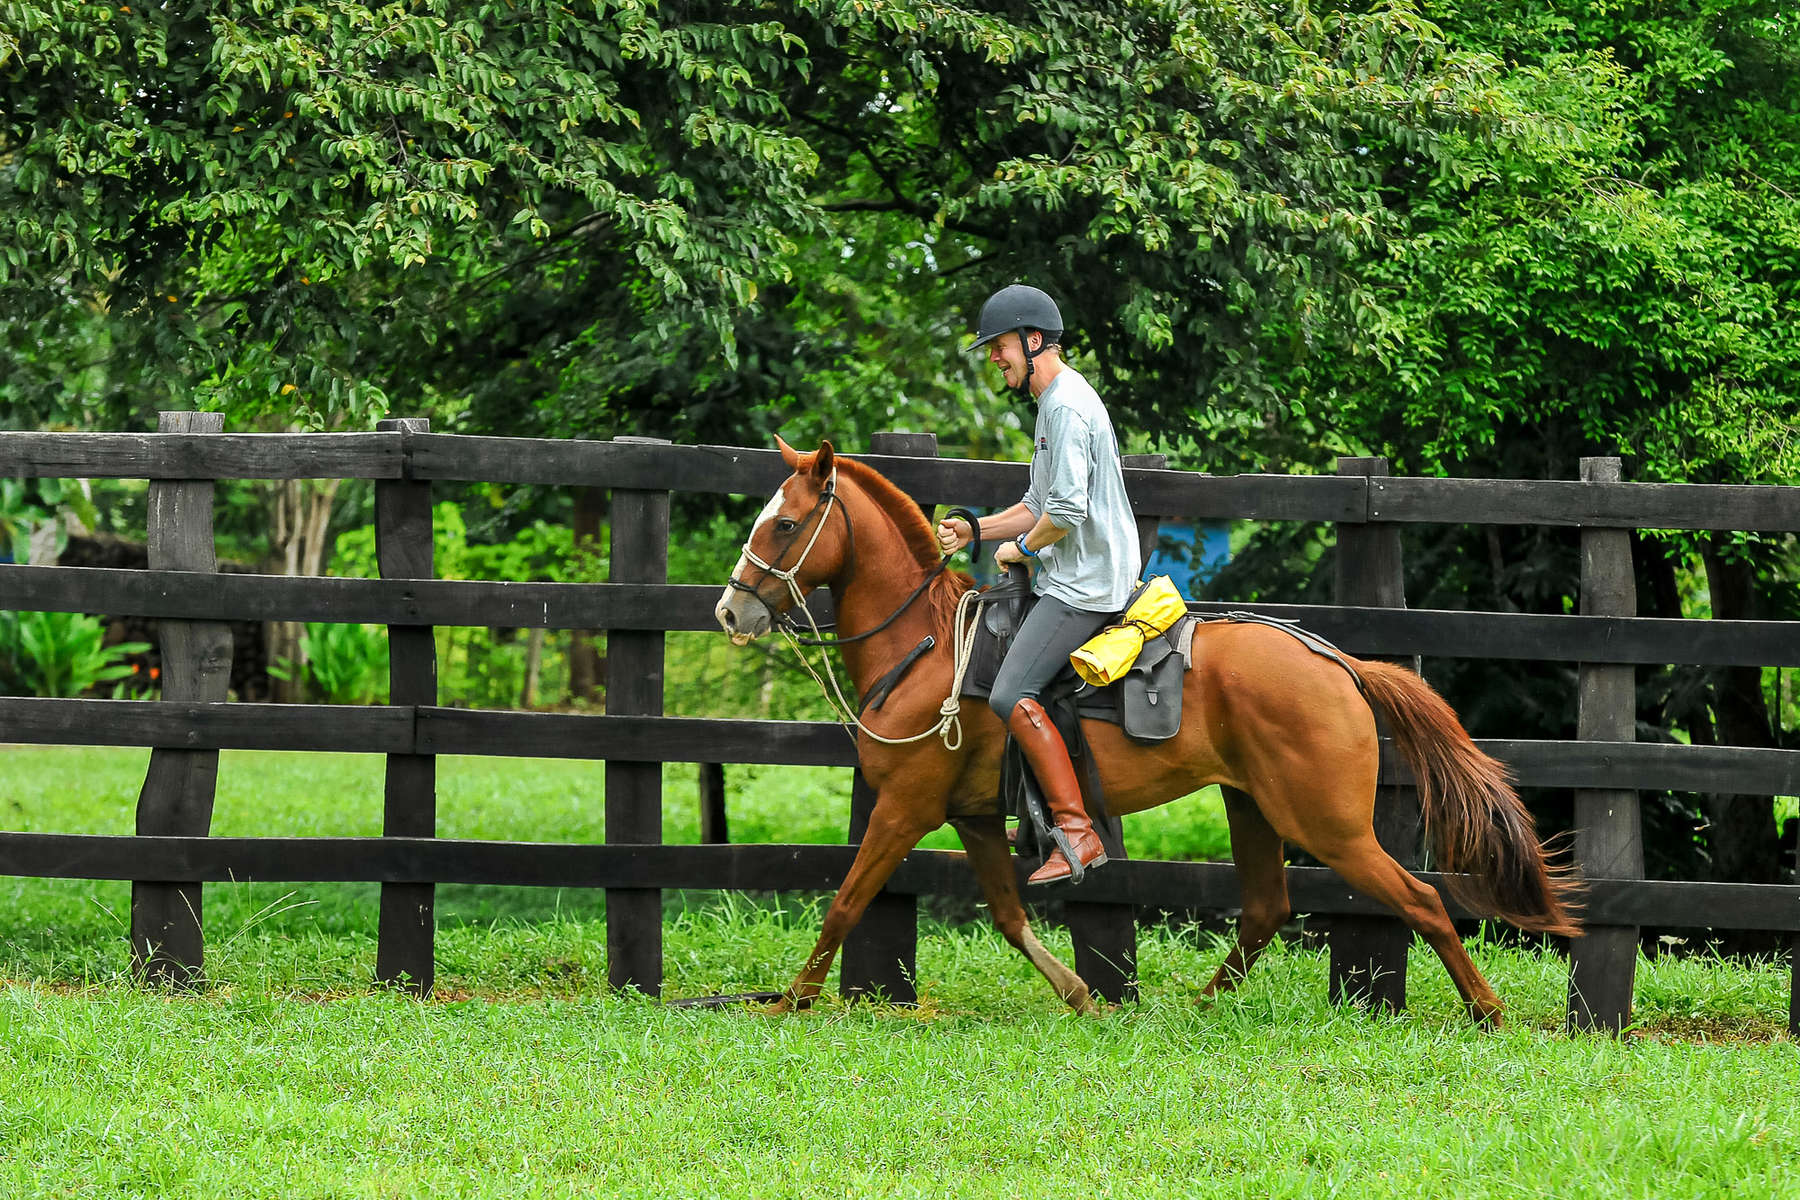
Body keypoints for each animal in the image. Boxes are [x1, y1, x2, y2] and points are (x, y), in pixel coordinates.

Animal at [709, 437, 1584, 1029]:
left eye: (785, 524)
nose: (730, 611)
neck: (925, 649)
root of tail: (1338, 662)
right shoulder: (973, 816)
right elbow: (1009, 918)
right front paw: (1079, 994)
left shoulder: (903, 809)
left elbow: (845, 903)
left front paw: (791, 1001)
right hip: (1253, 806)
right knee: (1265, 909)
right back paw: (1201, 1004)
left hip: (1328, 824)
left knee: (1422, 900)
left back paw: (1487, 1011)